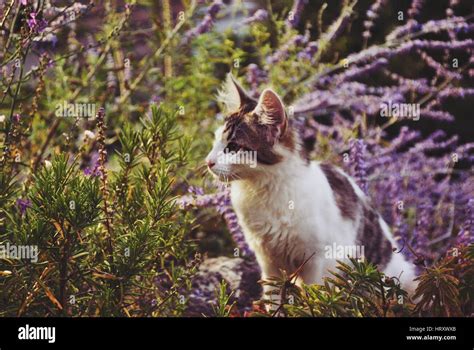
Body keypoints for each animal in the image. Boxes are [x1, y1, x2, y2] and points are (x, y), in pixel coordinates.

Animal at [206, 72, 416, 300]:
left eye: (233, 147)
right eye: (216, 142)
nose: (208, 162)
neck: (263, 188)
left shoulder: (318, 260)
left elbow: (314, 297)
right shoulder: (269, 260)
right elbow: (273, 297)